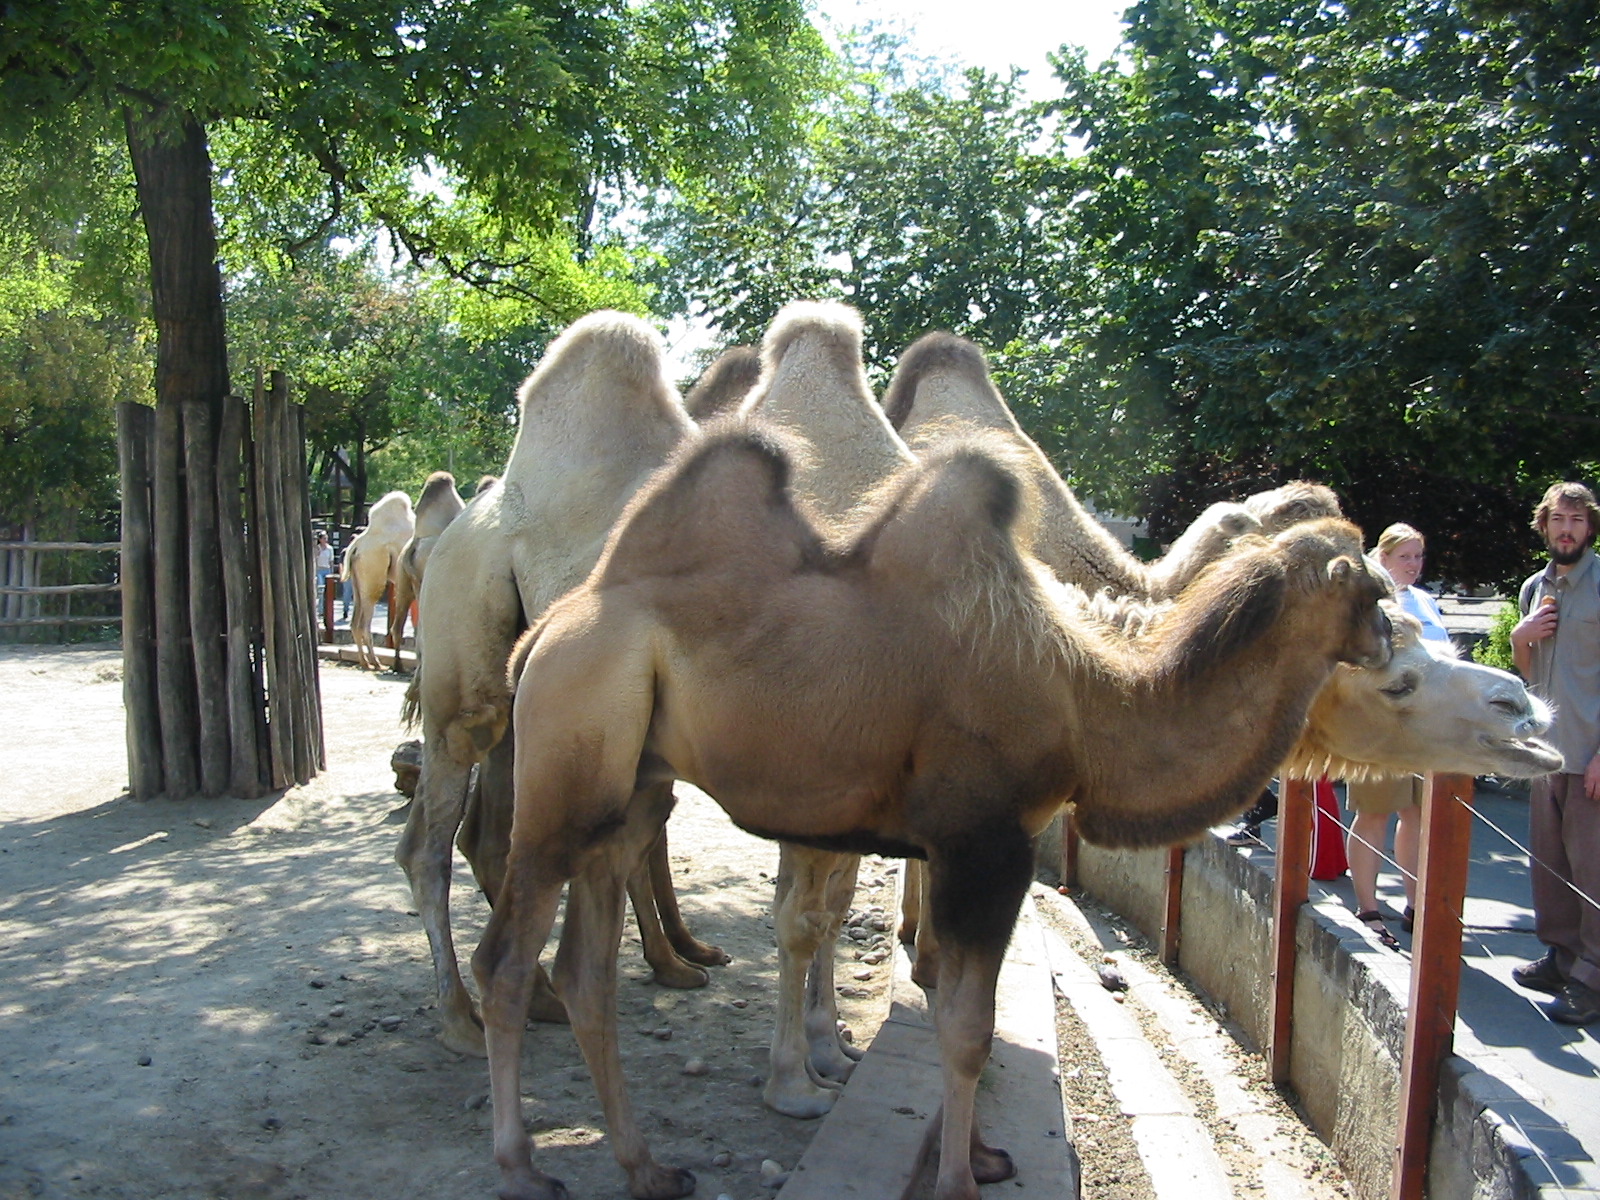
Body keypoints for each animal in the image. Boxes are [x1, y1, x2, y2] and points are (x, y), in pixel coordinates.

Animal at [340, 490, 415, 670]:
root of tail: (356, 544)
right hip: (373, 570)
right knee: (365, 621)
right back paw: (376, 662)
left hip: (357, 581)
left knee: (355, 622)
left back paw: (365, 661)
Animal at [397, 312, 728, 1057]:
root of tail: (441, 546)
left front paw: (680, 959)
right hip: (462, 683)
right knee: (428, 842)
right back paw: (461, 1018)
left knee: (488, 836)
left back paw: (535, 995)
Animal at [476, 423, 1393, 1200]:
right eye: (1371, 587)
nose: (1392, 648)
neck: (1086, 701)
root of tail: (543, 633)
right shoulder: (984, 845)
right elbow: (966, 1029)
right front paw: (958, 1180)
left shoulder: (969, 851)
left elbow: (955, 998)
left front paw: (983, 1156)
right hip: (565, 772)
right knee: (511, 964)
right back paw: (523, 1169)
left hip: (632, 792)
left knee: (587, 974)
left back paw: (649, 1168)